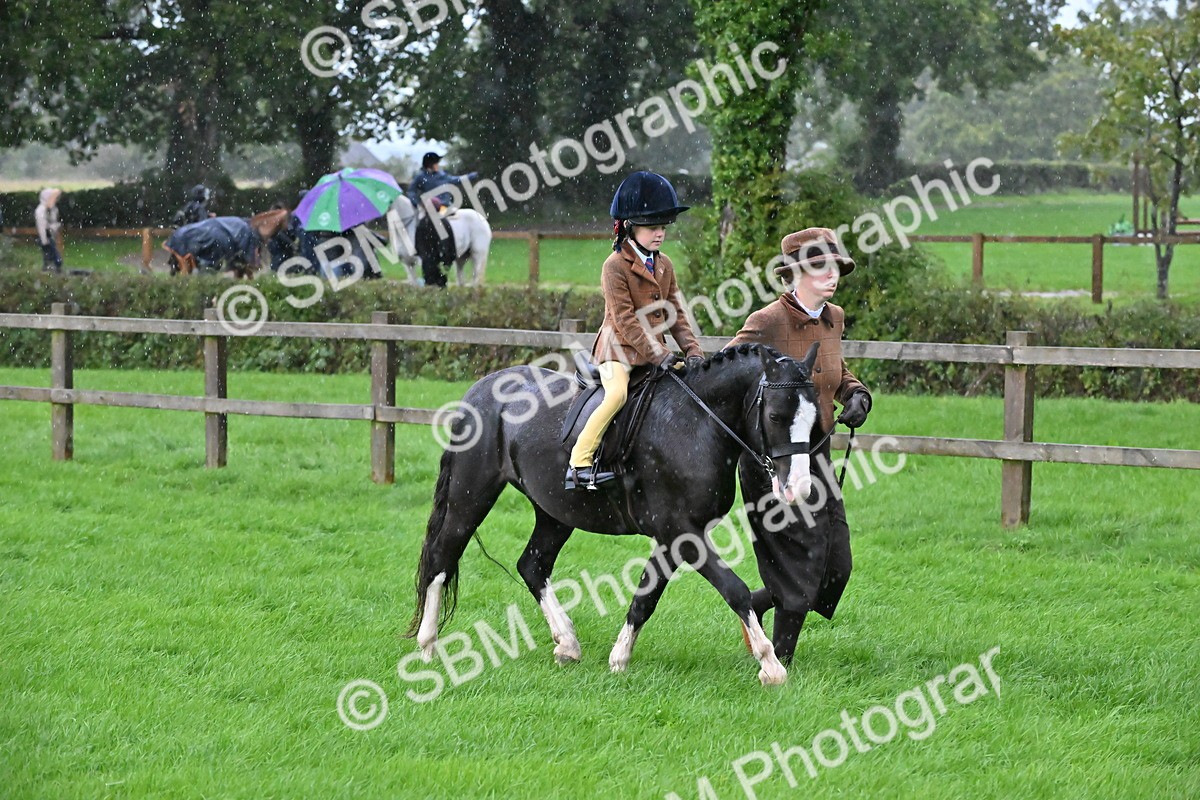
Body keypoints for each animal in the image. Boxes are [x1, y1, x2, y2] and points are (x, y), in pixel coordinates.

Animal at [406, 343, 822, 686]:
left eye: (814, 417)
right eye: (775, 415)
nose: (799, 488)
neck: (695, 422)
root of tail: (482, 389)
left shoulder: (672, 538)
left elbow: (645, 597)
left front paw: (619, 658)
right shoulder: (683, 533)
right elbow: (735, 589)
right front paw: (770, 665)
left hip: (555, 512)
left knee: (532, 566)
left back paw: (567, 643)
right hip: (470, 496)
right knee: (442, 558)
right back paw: (428, 646)